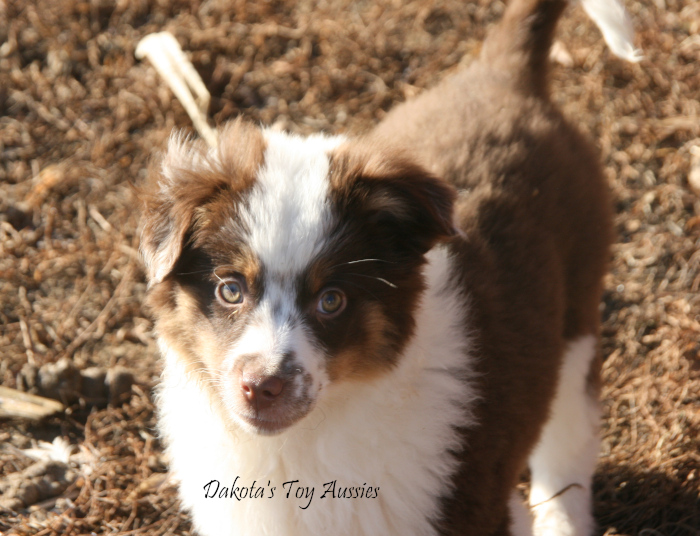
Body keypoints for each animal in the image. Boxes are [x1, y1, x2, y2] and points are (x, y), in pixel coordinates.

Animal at [139, 1, 636, 536]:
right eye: (230, 290)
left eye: (331, 300)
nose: (261, 388)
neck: (307, 437)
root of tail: (507, 72)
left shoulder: (475, 507)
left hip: (577, 314)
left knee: (570, 437)